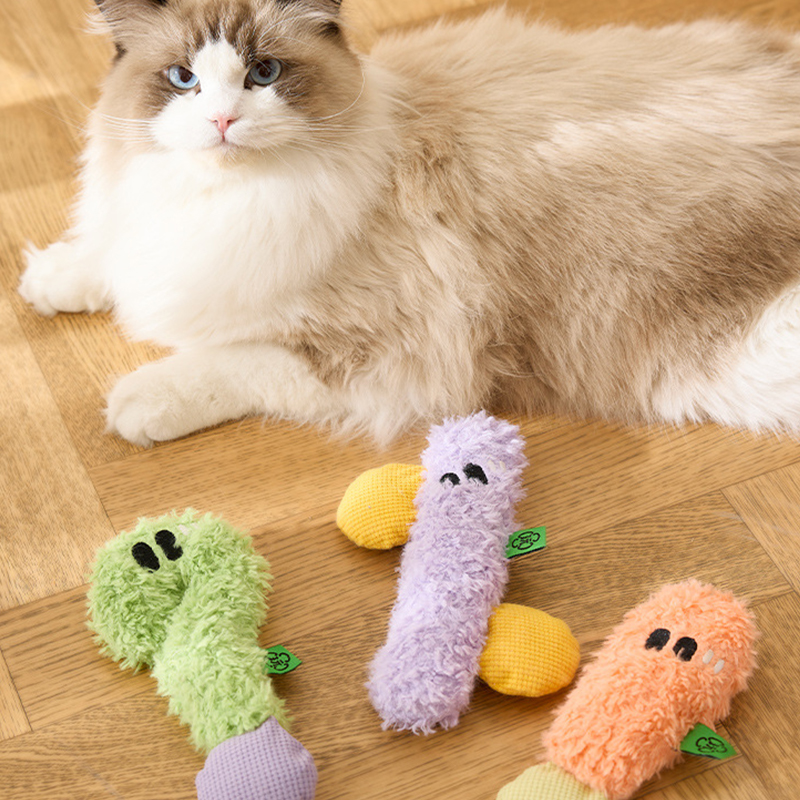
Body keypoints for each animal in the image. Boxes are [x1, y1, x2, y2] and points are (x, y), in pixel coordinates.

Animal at [18, 0, 800, 446]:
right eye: (184, 79)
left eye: (264, 74)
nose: (221, 121)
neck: (229, 196)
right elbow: (108, 254)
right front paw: (52, 280)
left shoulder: (390, 353)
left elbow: (234, 361)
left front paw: (139, 402)